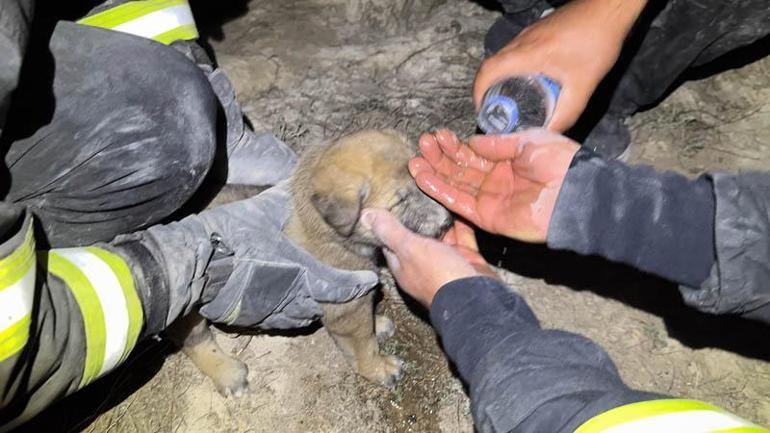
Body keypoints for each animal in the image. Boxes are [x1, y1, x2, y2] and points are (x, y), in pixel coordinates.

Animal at [168, 129, 450, 394]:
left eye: (421, 181)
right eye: (401, 201)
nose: (448, 222)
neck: (329, 233)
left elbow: (368, 323)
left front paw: (378, 324)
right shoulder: (347, 308)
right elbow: (365, 344)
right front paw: (379, 368)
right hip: (190, 305)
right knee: (194, 338)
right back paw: (227, 372)